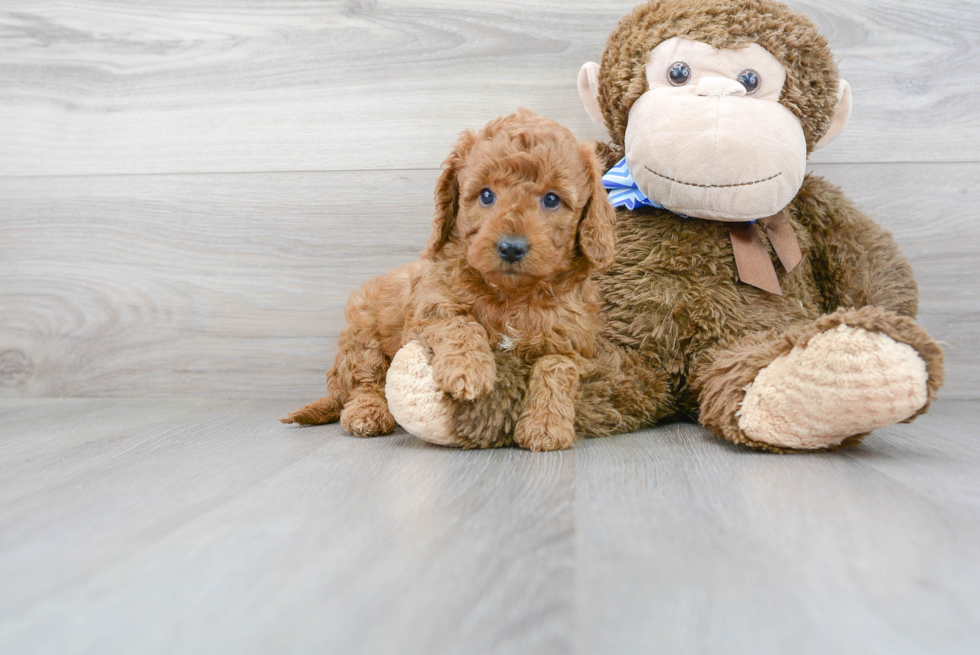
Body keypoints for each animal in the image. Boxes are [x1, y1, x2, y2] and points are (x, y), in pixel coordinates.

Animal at [284, 111, 616, 452]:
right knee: (364, 380)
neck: (510, 294)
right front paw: (468, 370)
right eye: (486, 195)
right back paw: (367, 413)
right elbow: (457, 322)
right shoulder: (429, 305)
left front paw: (546, 426)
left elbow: (557, 368)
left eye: (551, 199)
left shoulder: (573, 342)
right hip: (361, 331)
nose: (511, 247)